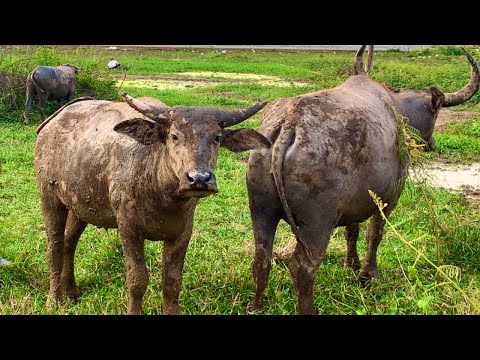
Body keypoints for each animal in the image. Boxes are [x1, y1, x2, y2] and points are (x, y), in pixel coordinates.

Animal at [36, 93, 270, 316]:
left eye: (217, 137)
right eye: (174, 136)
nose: (199, 179)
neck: (161, 193)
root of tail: (50, 124)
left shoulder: (182, 232)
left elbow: (172, 283)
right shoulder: (128, 228)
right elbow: (137, 280)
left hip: (79, 206)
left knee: (69, 242)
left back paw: (71, 291)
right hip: (49, 197)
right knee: (54, 247)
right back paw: (54, 299)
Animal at [246, 45, 478, 316]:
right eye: (437, 112)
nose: (432, 143)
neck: (397, 111)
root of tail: (289, 127)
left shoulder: (354, 204)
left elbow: (352, 231)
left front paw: (351, 264)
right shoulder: (388, 199)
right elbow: (374, 234)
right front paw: (368, 274)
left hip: (261, 211)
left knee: (262, 258)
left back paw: (255, 306)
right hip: (316, 225)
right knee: (303, 266)